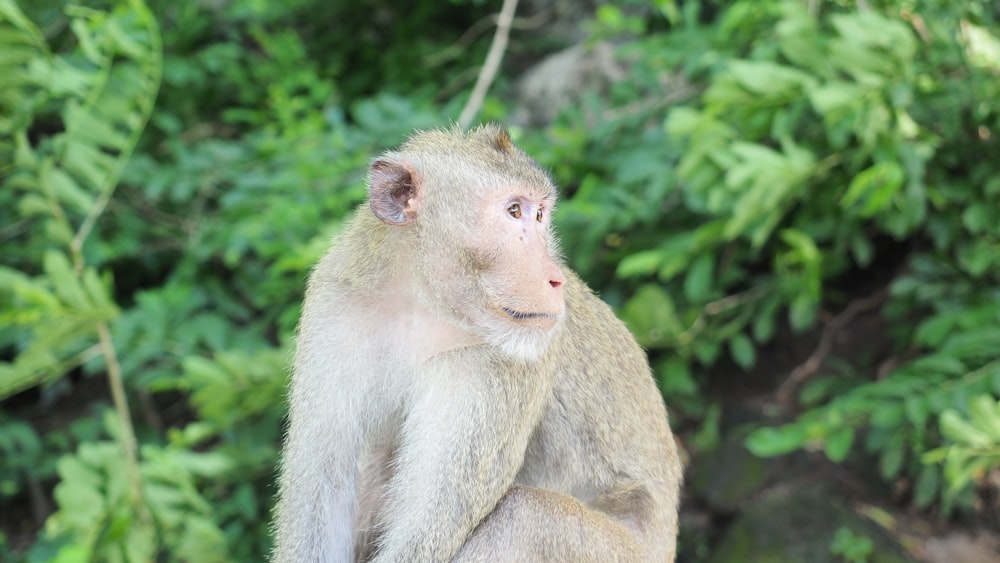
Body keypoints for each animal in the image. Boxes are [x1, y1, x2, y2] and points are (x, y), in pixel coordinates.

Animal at [270, 124, 684, 563]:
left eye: (540, 215)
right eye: (514, 211)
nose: (556, 278)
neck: (422, 300)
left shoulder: (500, 360)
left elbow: (430, 527)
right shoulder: (336, 306)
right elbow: (324, 479)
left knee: (524, 517)